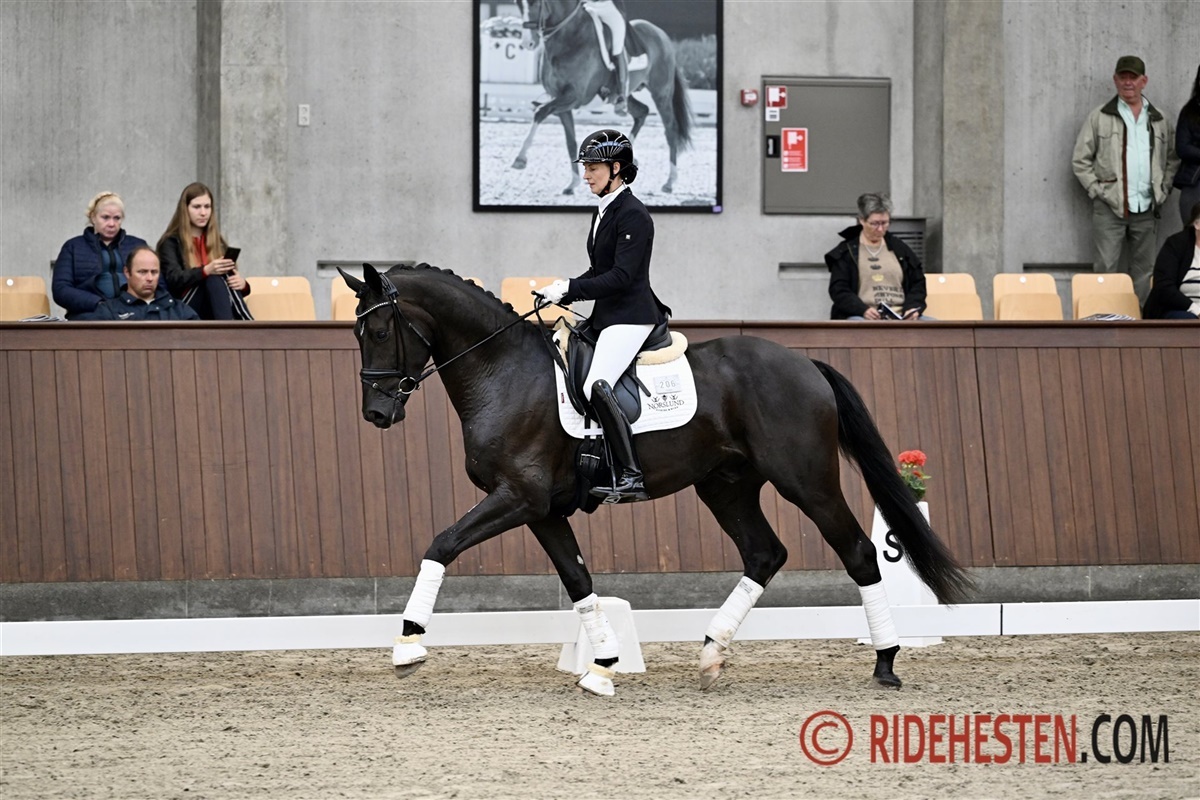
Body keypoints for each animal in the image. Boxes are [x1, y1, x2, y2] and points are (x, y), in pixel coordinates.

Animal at [340, 263, 972, 696]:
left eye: (380, 333)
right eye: (357, 334)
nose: (375, 413)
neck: (504, 371)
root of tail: (803, 363)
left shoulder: (518, 497)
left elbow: (442, 543)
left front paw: (408, 643)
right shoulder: (541, 509)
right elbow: (578, 580)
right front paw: (602, 666)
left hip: (806, 481)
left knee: (860, 551)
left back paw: (886, 662)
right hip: (724, 485)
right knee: (764, 553)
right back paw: (712, 653)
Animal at [511, 0, 694, 195]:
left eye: (535, 3)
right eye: (518, 4)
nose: (528, 43)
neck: (568, 38)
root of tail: (662, 35)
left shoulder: (574, 96)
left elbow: (540, 111)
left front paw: (520, 158)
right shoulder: (562, 102)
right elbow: (570, 141)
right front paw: (573, 183)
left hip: (661, 93)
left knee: (670, 130)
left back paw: (670, 182)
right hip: (628, 95)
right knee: (642, 112)